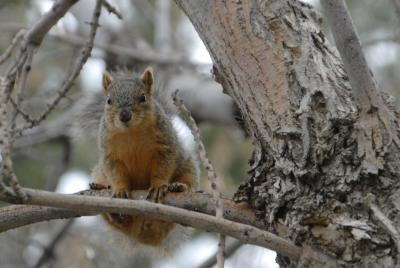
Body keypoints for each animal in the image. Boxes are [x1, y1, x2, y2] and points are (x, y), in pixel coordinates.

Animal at [87, 67, 200, 247]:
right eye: (109, 101)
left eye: (143, 97)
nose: (125, 115)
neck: (131, 132)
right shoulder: (109, 154)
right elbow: (116, 173)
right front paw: (120, 189)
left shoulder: (165, 146)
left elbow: (162, 168)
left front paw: (158, 186)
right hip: (99, 172)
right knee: (119, 222)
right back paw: (103, 193)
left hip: (188, 165)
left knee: (188, 181)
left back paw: (180, 186)